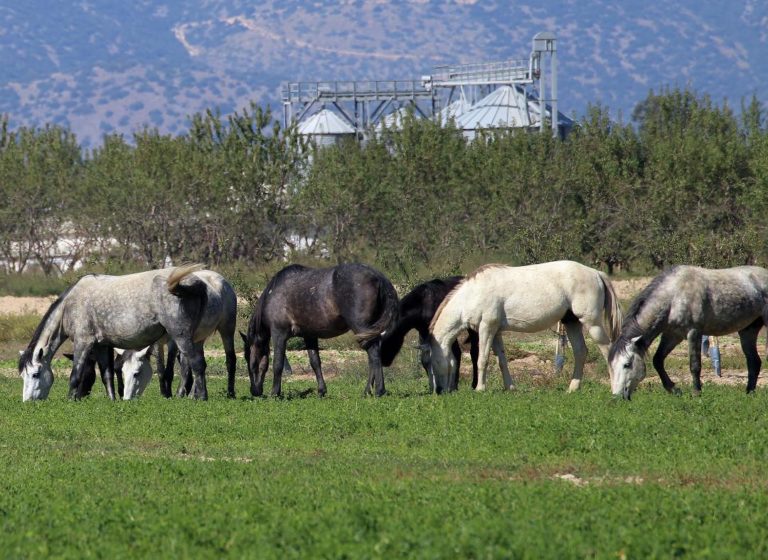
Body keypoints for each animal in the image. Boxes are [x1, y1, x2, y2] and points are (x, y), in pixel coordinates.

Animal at [17, 264, 228, 400]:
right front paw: (112, 399)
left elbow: (75, 375)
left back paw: (201, 398)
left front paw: (70, 400)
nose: (28, 402)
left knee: (197, 364)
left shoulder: (83, 342)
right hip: (194, 337)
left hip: (181, 336)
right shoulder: (101, 346)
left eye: (35, 374)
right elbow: (107, 375)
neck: (70, 305)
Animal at [428, 260, 620, 392]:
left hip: (592, 323)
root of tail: (596, 273)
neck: (473, 293)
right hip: (572, 323)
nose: (439, 391)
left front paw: (480, 389)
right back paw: (572, 388)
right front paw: (510, 387)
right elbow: (502, 360)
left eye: (433, 361)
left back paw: (614, 388)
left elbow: (482, 359)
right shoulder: (496, 331)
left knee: (608, 350)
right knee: (580, 352)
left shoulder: (487, 328)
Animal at [612, 266, 768, 398]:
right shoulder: (672, 335)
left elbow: (695, 365)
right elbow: (657, 360)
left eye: (627, 364)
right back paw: (749, 393)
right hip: (748, 331)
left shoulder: (694, 333)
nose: (617, 397)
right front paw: (674, 390)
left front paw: (696, 393)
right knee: (754, 362)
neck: (674, 296)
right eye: (612, 365)